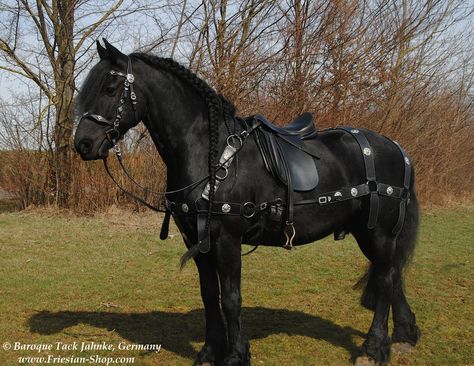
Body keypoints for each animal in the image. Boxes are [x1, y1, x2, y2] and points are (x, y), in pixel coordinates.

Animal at [74, 40, 418, 366]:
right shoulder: (196, 240)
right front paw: (210, 351)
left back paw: (374, 349)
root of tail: (397, 150)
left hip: (378, 233)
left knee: (385, 280)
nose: (83, 144)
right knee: (392, 276)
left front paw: (236, 354)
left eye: (109, 88)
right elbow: (209, 296)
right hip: (368, 233)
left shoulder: (226, 238)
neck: (209, 154)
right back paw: (403, 335)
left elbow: (231, 298)